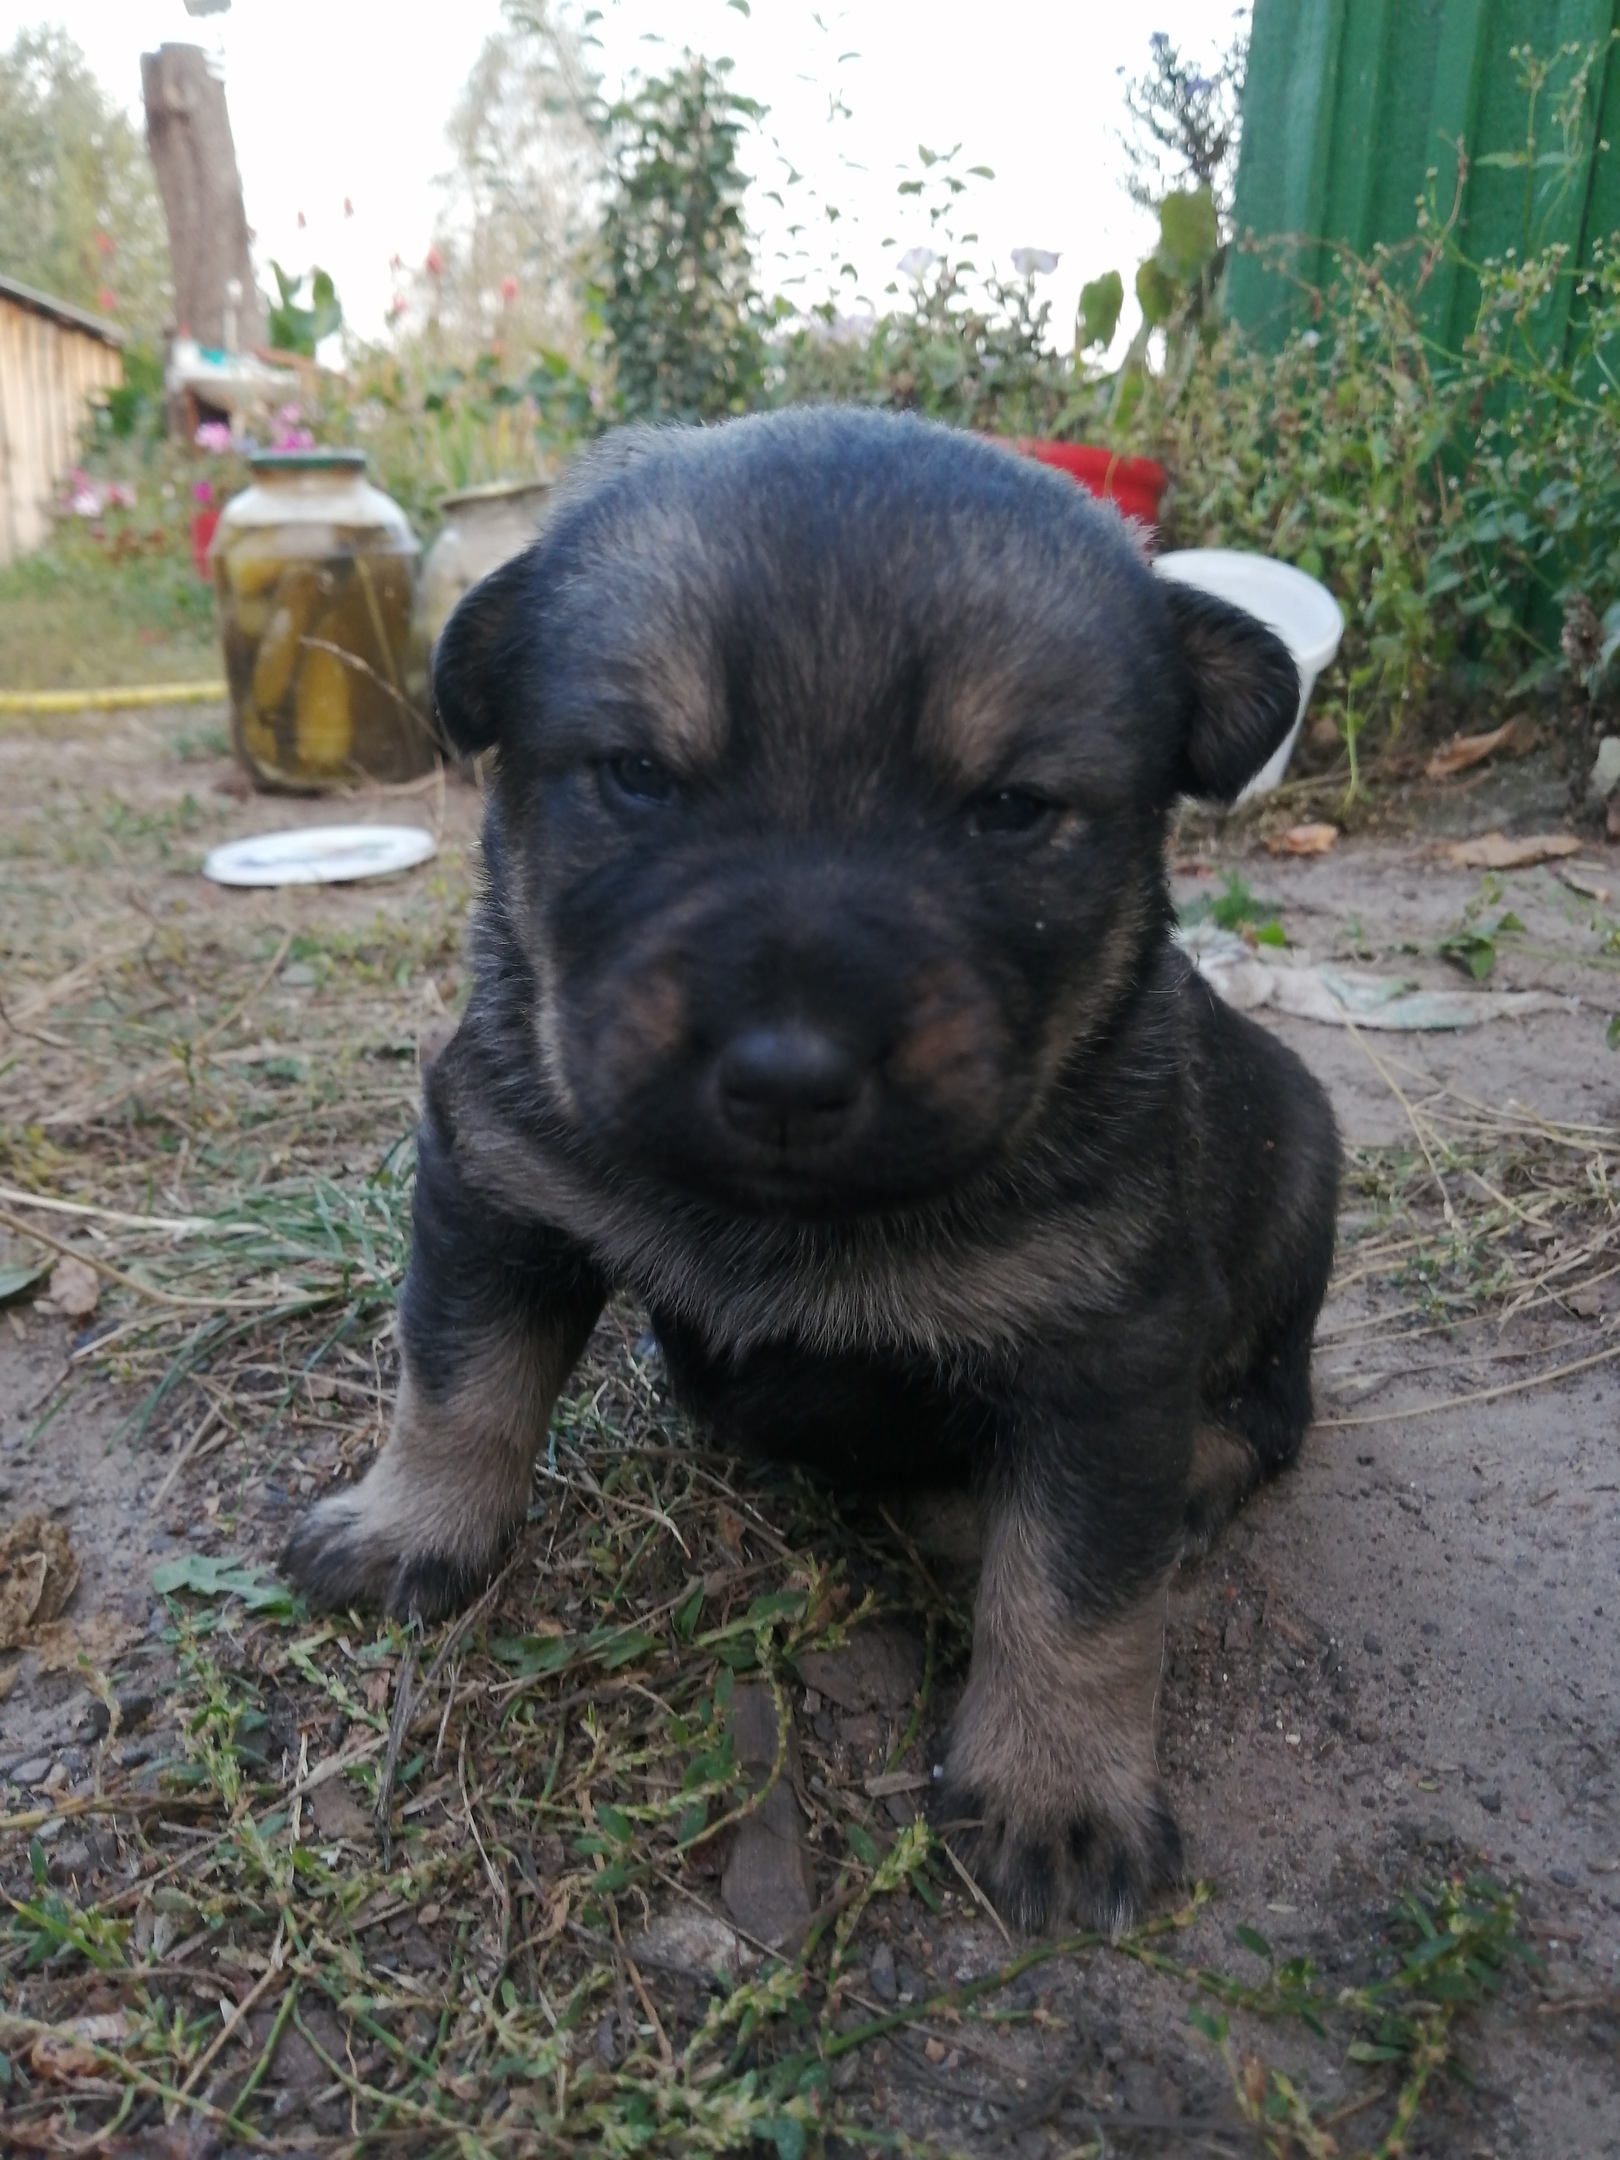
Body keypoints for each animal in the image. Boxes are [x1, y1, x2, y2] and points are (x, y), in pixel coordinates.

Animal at [289, 412, 1347, 1935]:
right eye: (639, 775)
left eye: (1013, 808)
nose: (787, 1074)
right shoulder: (495, 1188)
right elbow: (456, 1382)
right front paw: (405, 1525)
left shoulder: (1109, 1351)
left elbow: (1082, 1590)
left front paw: (1058, 1789)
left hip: (1302, 1187)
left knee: (1267, 1416)